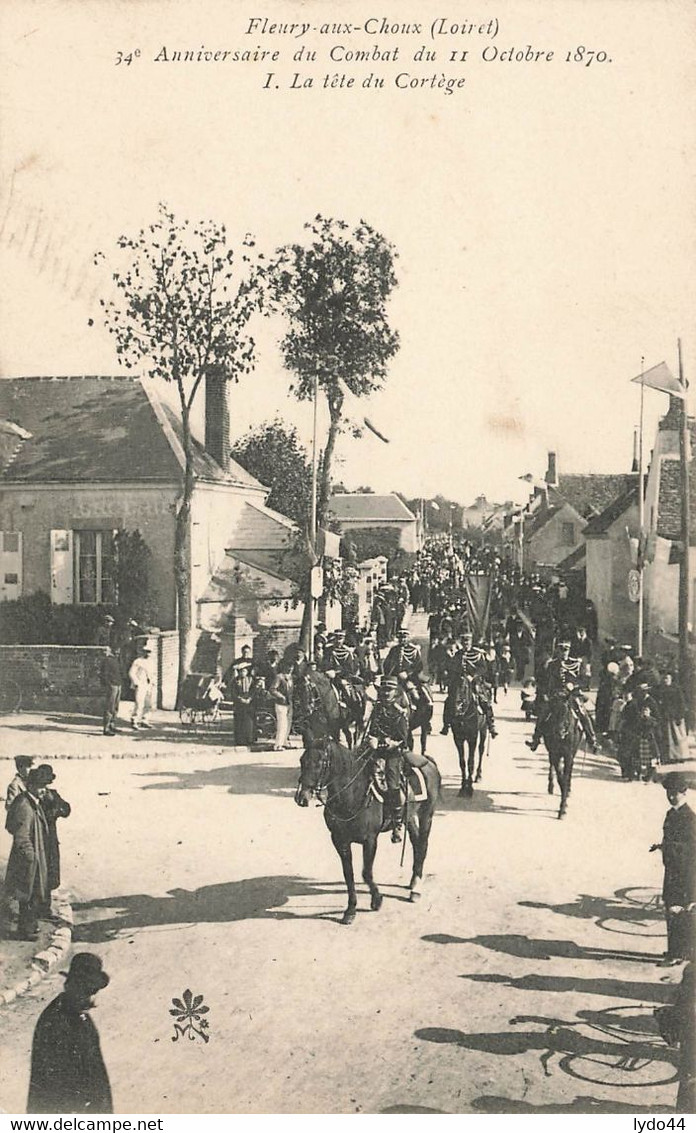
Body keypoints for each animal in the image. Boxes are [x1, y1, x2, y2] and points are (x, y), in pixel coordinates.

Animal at [294, 666, 442, 924]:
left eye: (320, 762)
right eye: (302, 760)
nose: (302, 797)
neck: (349, 797)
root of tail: (428, 761)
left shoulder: (369, 839)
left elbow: (365, 872)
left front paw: (376, 900)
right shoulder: (340, 840)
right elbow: (349, 874)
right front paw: (350, 909)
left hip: (427, 816)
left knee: (422, 845)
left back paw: (416, 888)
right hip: (410, 817)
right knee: (415, 844)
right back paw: (412, 881)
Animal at [546, 684, 584, 820]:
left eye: (566, 711)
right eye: (552, 710)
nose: (559, 732)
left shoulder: (568, 756)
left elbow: (566, 776)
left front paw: (563, 806)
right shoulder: (555, 754)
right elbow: (560, 777)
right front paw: (563, 806)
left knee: (570, 770)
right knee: (551, 765)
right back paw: (551, 786)